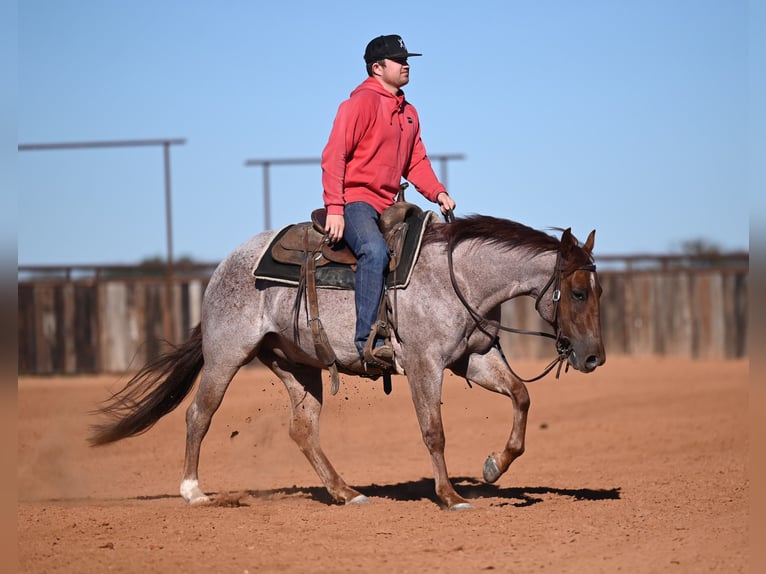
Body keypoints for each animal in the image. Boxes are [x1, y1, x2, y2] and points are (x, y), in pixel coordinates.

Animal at [89, 213, 605, 510]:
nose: (594, 356)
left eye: (598, 291)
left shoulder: (473, 358)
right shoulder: (425, 364)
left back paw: (346, 491)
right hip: (226, 354)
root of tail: (222, 268)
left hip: (298, 365)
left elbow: (522, 394)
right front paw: (449, 496)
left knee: (302, 429)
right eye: (578, 292)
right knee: (200, 414)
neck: (458, 277)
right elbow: (434, 431)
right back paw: (194, 491)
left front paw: (495, 465)